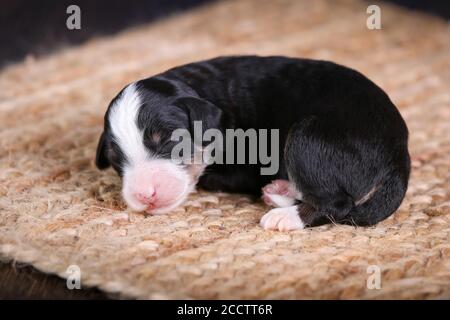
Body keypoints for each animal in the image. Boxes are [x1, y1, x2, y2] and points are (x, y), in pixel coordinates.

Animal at [96, 55, 412, 230]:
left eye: (170, 141)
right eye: (115, 159)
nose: (144, 195)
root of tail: (399, 155)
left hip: (306, 138)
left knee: (337, 202)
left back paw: (285, 217)